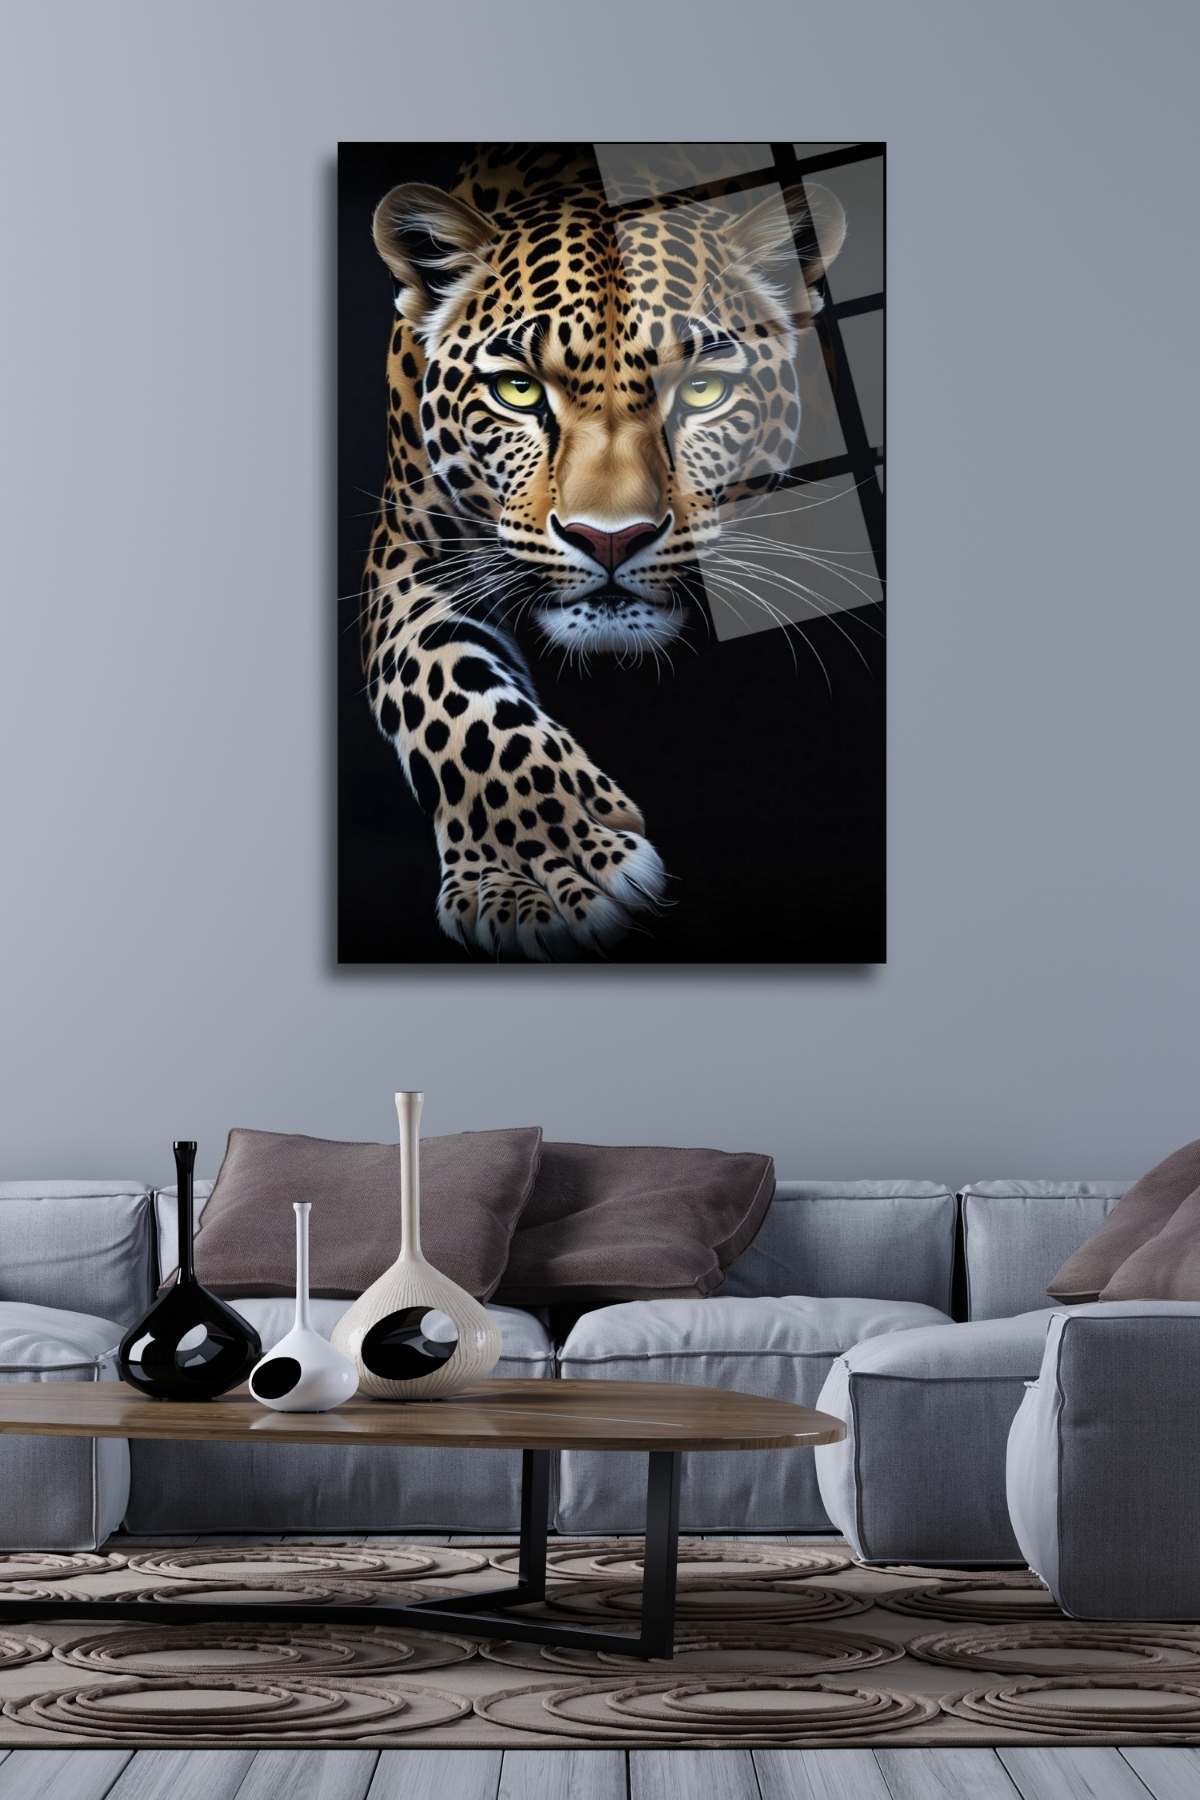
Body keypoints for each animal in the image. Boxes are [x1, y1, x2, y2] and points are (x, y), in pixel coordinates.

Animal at [357, 144, 846, 961]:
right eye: (518, 391)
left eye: (703, 390)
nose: (608, 538)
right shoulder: (408, 550)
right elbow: (448, 694)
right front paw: (538, 871)